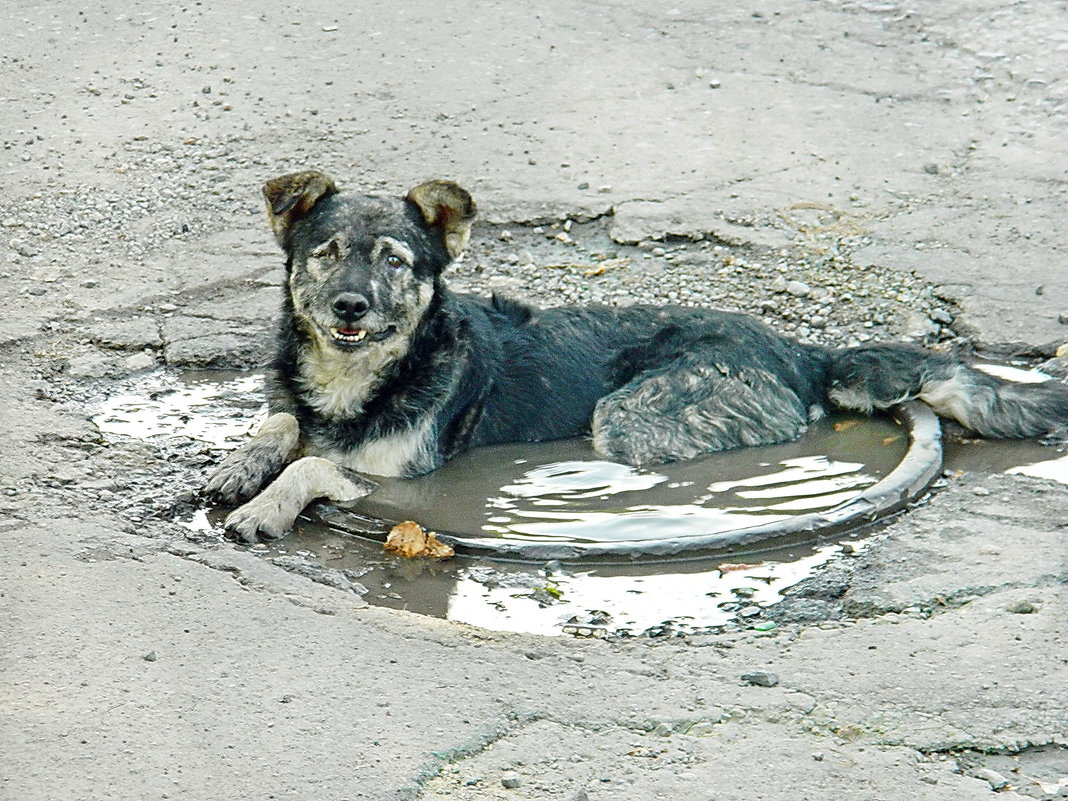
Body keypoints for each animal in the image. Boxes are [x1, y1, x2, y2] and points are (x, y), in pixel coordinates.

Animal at [206, 171, 1068, 542]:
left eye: (394, 261)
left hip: (630, 416)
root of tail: (798, 348)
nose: (350, 307)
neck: (354, 379)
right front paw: (241, 465)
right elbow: (281, 427)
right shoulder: (300, 407)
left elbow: (316, 465)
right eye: (326, 254)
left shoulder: (411, 482)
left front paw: (265, 503)